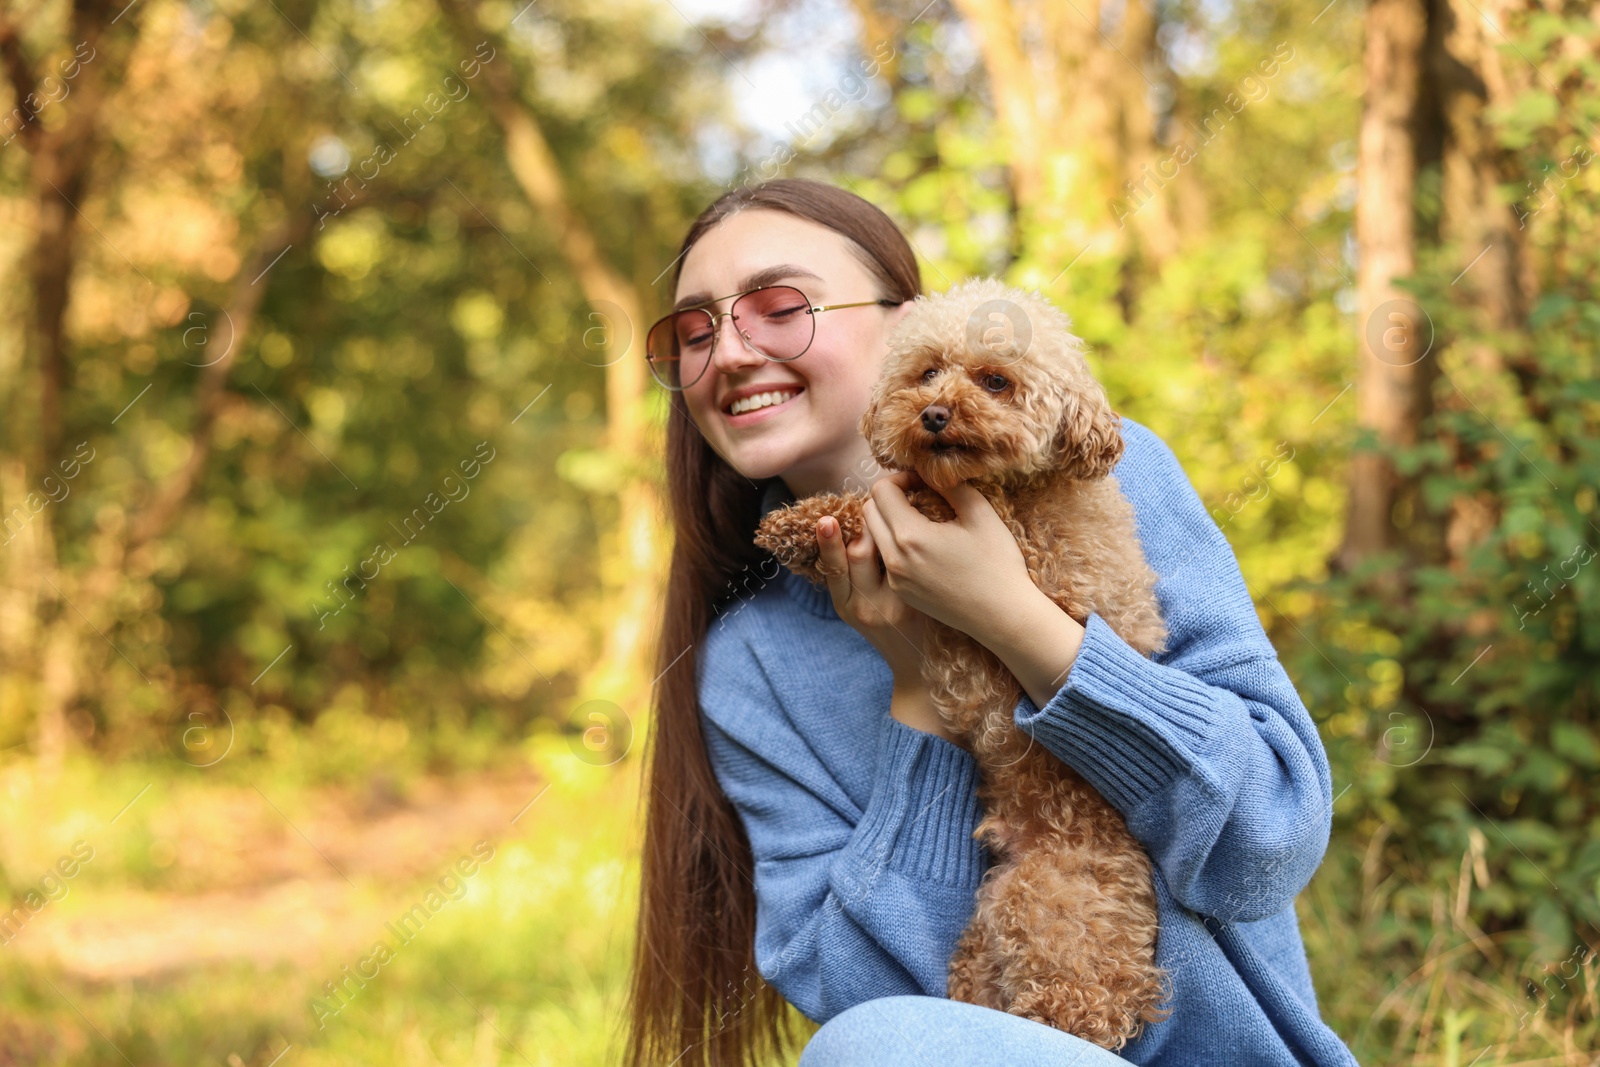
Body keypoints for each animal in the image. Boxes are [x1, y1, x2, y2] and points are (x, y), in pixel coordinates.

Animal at [748, 278, 1177, 1049]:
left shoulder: (1033, 559)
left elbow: (888, 500)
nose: (934, 415)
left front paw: (812, 520)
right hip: (982, 934)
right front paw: (801, 522)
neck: (1020, 484)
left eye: (996, 380)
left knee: (1065, 1002)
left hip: (1044, 912)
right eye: (926, 373)